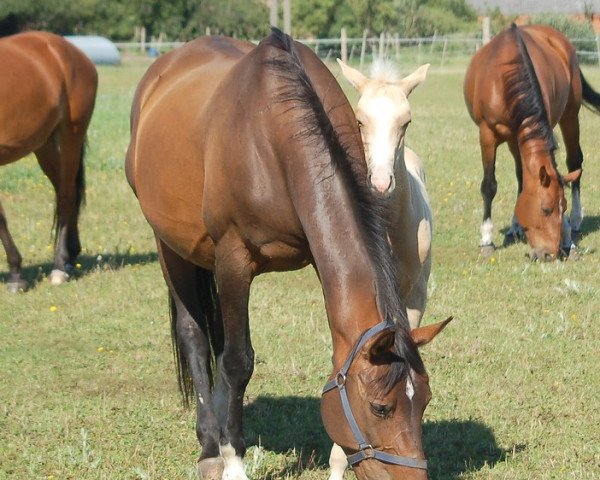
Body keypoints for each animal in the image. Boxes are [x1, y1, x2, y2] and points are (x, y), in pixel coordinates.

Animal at [0, 32, 97, 292]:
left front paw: (16, 274)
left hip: (71, 134)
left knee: (66, 196)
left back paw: (60, 266)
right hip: (45, 145)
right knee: (64, 191)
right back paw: (71, 256)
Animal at [124, 30, 448, 480]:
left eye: (425, 402)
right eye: (381, 408)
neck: (273, 135)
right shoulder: (233, 260)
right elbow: (238, 361)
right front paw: (234, 460)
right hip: (169, 247)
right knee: (195, 338)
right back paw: (210, 446)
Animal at [462, 23, 596, 258]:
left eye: (563, 206)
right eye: (545, 209)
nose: (549, 253)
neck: (505, 77)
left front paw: (569, 239)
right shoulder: (487, 134)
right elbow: (489, 185)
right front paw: (486, 239)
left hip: (570, 115)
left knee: (574, 162)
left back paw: (576, 220)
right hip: (515, 139)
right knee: (520, 175)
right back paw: (514, 228)